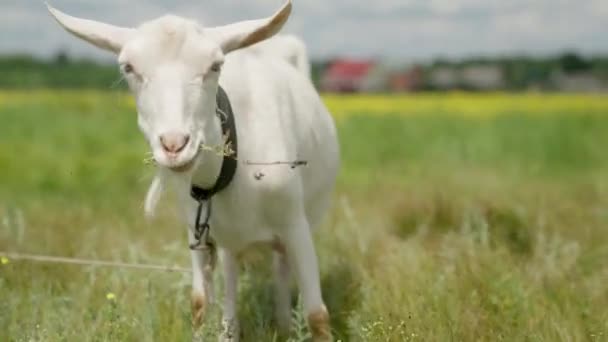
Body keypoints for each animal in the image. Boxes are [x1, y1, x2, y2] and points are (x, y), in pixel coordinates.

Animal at [48, 1, 340, 340]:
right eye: (128, 68)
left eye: (215, 66)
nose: (175, 145)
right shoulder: (196, 227)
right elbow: (199, 303)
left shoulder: (295, 224)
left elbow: (317, 315)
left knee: (280, 269)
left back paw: (282, 323)